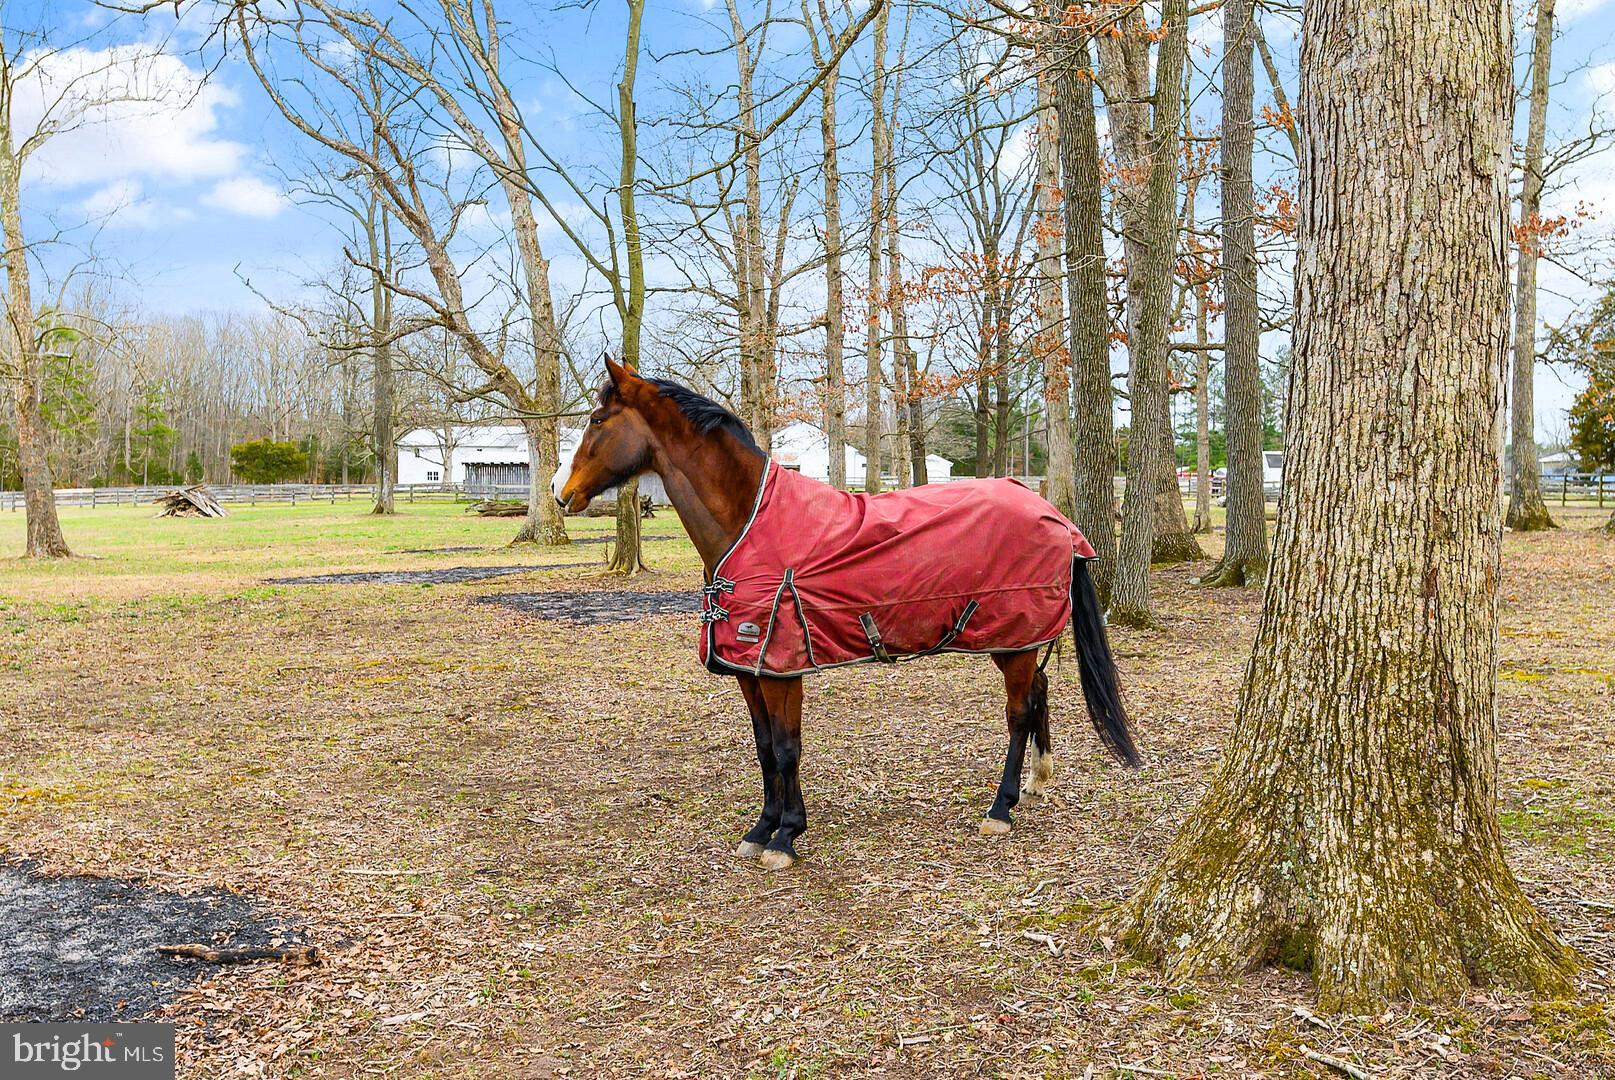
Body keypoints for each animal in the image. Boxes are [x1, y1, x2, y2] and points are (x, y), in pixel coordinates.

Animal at [558, 358, 1139, 870]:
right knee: (1039, 693)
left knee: (1019, 713)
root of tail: (1053, 514)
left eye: (597, 420)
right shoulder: (750, 670)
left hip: (1012, 640)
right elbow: (764, 748)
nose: (563, 496)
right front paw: (762, 828)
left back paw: (1000, 810)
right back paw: (1037, 782)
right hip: (1011, 641)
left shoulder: (782, 669)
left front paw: (786, 837)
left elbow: (787, 748)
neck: (750, 525)